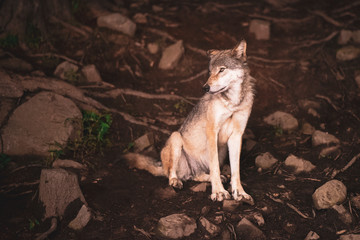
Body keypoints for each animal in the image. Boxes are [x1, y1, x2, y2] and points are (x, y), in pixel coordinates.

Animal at [125, 40, 255, 203]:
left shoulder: (237, 136)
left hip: (222, 151)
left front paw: (240, 193)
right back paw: (175, 181)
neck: (233, 103)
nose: (205, 87)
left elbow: (235, 171)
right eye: (210, 72)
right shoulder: (212, 132)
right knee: (172, 173)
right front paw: (219, 192)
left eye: (221, 70)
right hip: (176, 137)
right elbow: (215, 168)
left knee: (197, 176)